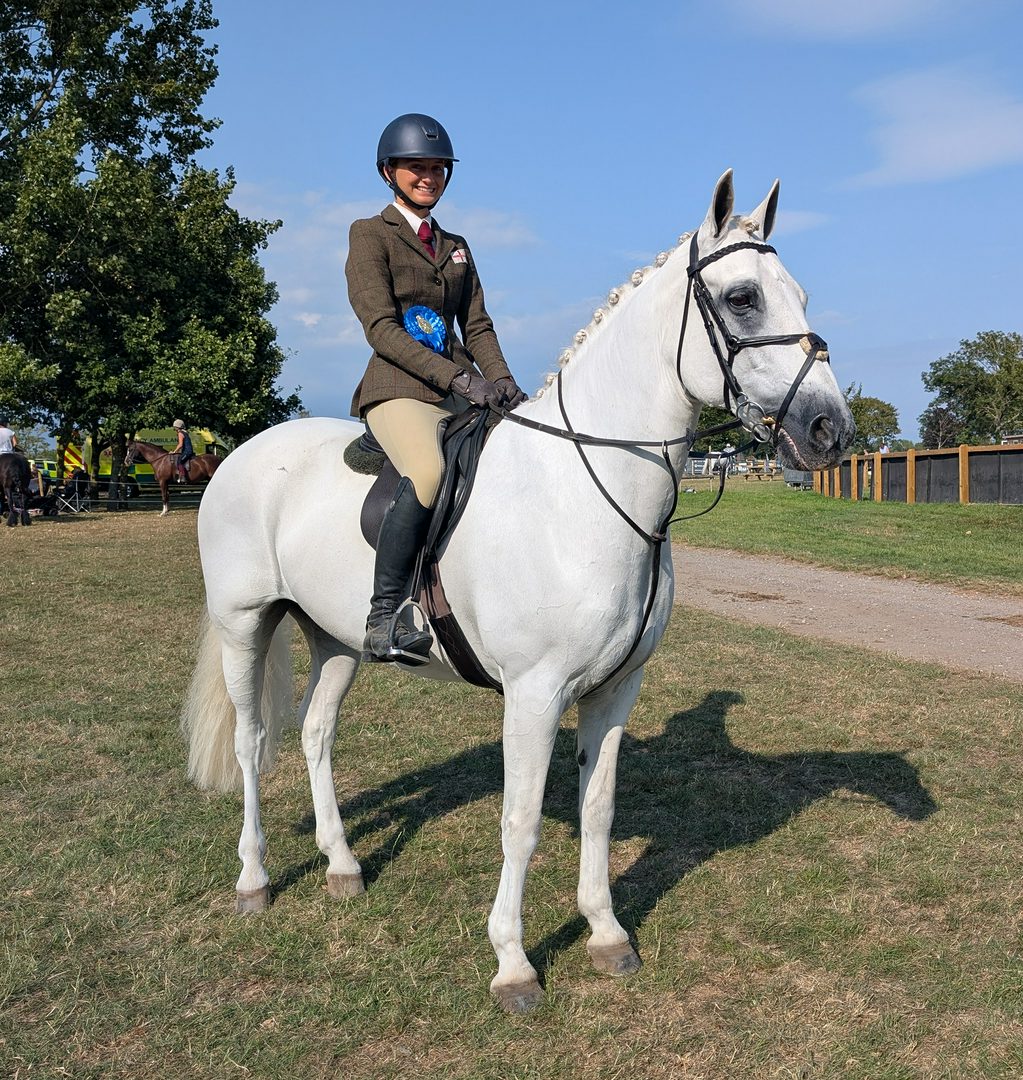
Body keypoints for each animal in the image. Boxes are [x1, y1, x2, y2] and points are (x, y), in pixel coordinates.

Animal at [181, 171, 855, 1013]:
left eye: (799, 294)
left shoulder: (614, 689)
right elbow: (521, 820)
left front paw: (606, 935)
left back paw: (341, 866)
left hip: (333, 637)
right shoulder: (533, 694)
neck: (585, 491)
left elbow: (598, 808)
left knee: (314, 733)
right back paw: (254, 880)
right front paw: (512, 964)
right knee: (251, 740)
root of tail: (240, 454)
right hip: (244, 623)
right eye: (741, 299)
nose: (830, 430)